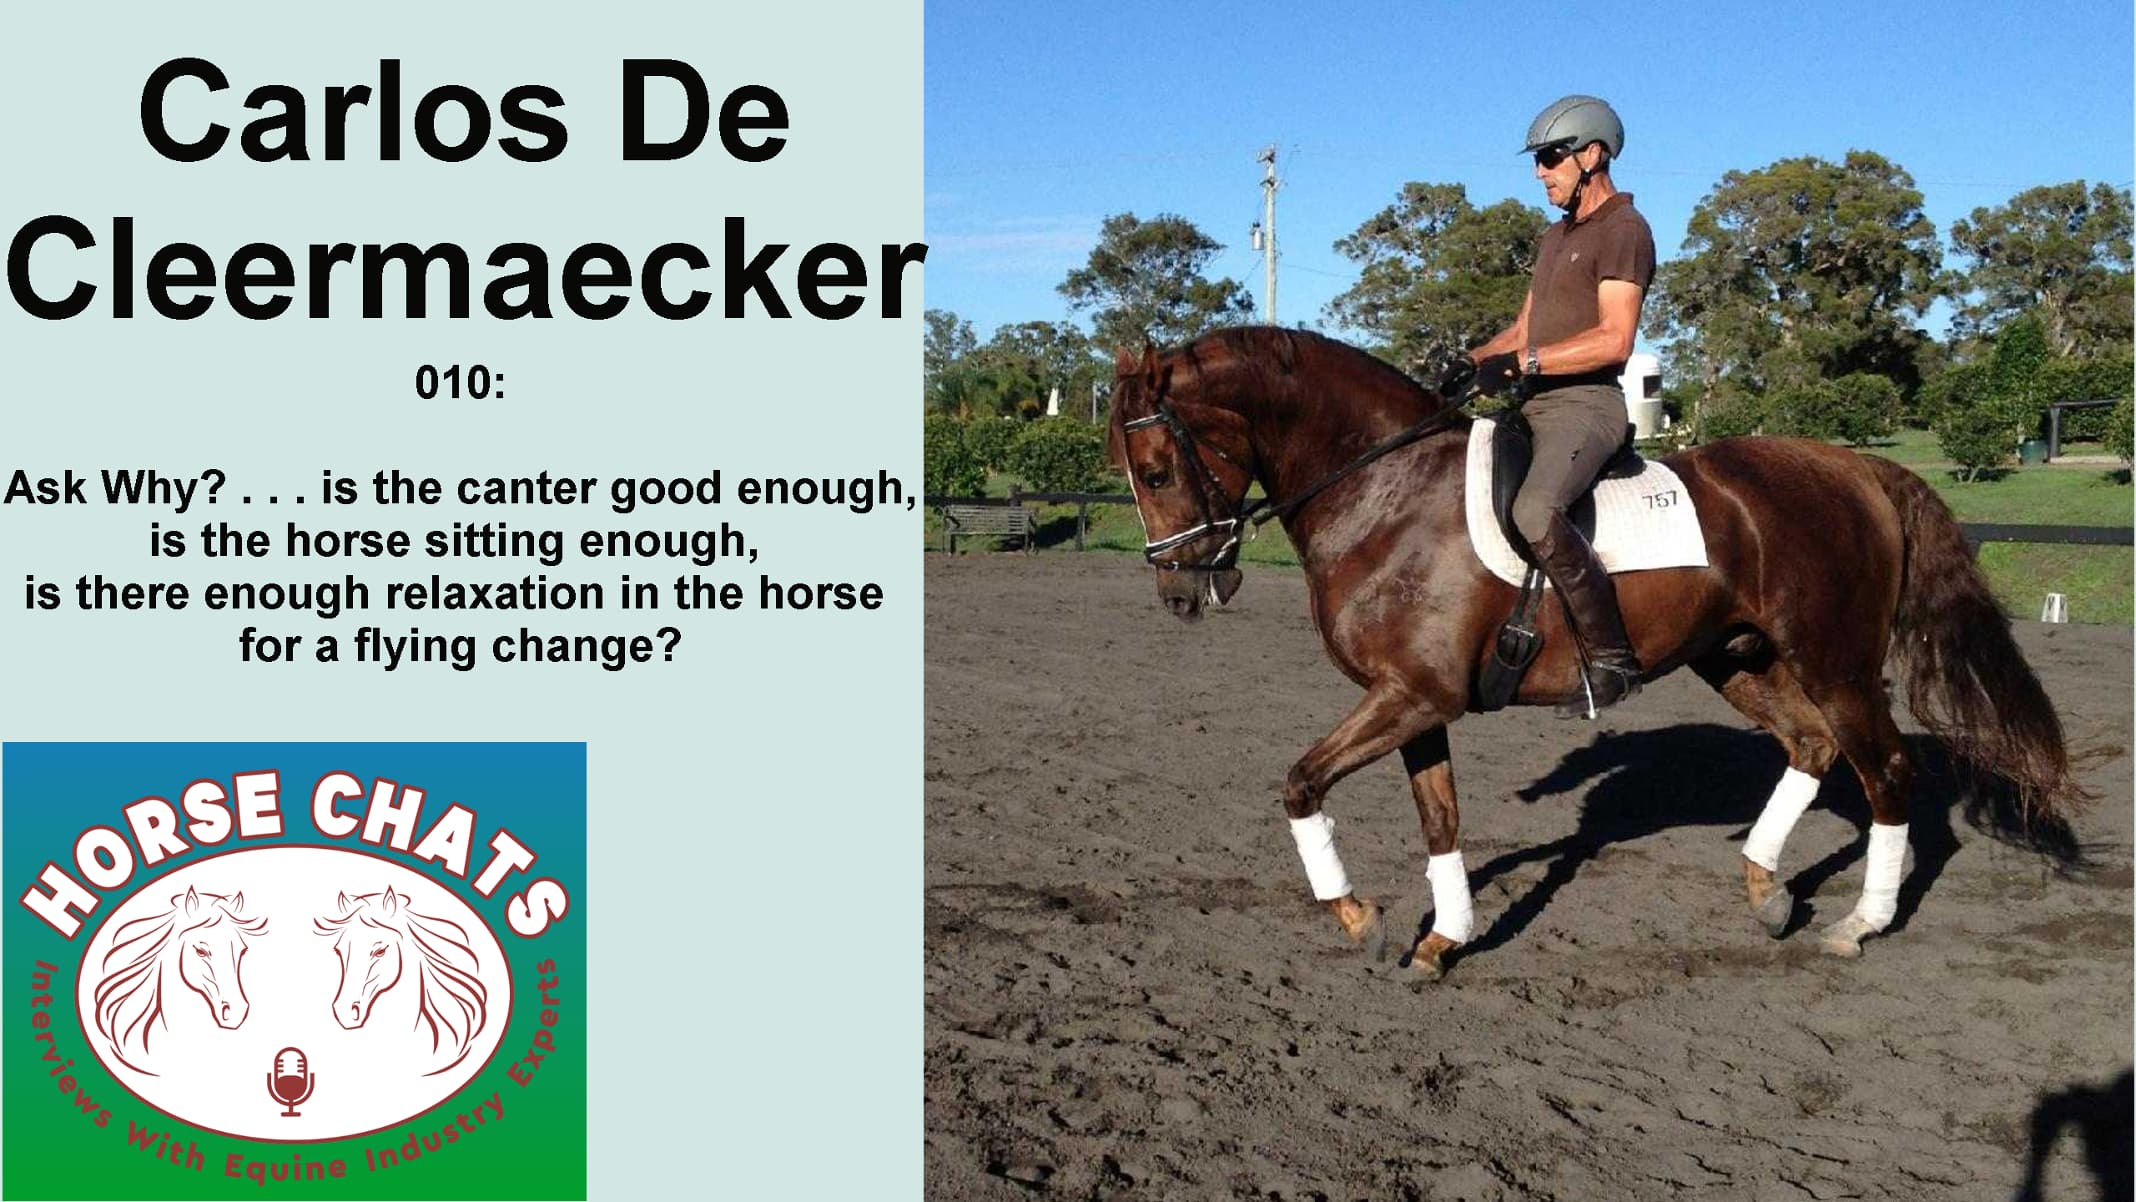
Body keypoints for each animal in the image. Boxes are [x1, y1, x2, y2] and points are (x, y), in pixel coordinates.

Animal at [1106, 327, 2081, 981]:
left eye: (1155, 471)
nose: (1178, 595)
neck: (1383, 492)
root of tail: (1858, 468)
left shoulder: (1410, 697)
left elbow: (1302, 784)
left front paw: (1361, 921)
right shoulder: (1412, 700)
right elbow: (1440, 820)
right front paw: (1442, 939)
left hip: (1833, 661)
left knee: (1884, 772)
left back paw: (1858, 924)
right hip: (1737, 658)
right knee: (1810, 747)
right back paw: (1767, 891)